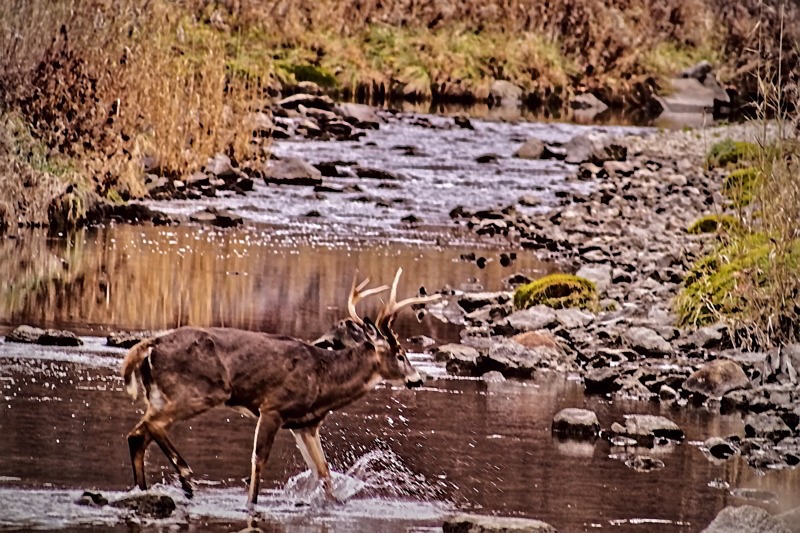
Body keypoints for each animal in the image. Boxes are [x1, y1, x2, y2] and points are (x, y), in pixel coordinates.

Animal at [120, 268, 439, 512]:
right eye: (400, 354)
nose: (417, 379)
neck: (323, 379)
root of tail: (151, 345)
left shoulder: (306, 424)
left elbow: (323, 472)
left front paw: (333, 504)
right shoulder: (273, 407)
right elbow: (258, 461)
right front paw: (251, 505)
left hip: (159, 395)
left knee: (138, 434)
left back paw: (144, 489)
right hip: (199, 391)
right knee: (151, 427)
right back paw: (185, 480)